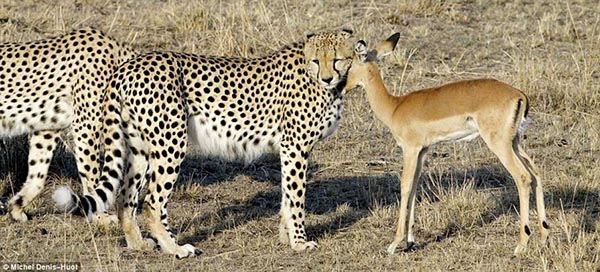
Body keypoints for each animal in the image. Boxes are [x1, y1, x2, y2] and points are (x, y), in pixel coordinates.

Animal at [0, 28, 137, 222]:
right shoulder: (85, 125)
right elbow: (92, 173)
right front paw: (100, 215)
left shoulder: (47, 129)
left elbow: (38, 174)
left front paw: (17, 207)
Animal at [54, 29, 354, 258]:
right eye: (316, 60)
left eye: (337, 59)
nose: (327, 77)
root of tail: (130, 64)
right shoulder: (296, 145)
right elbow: (296, 196)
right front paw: (300, 242)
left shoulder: (290, 149)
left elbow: (287, 196)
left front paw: (286, 237)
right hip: (171, 142)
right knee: (152, 202)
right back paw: (175, 249)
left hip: (139, 149)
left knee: (125, 200)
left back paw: (139, 245)